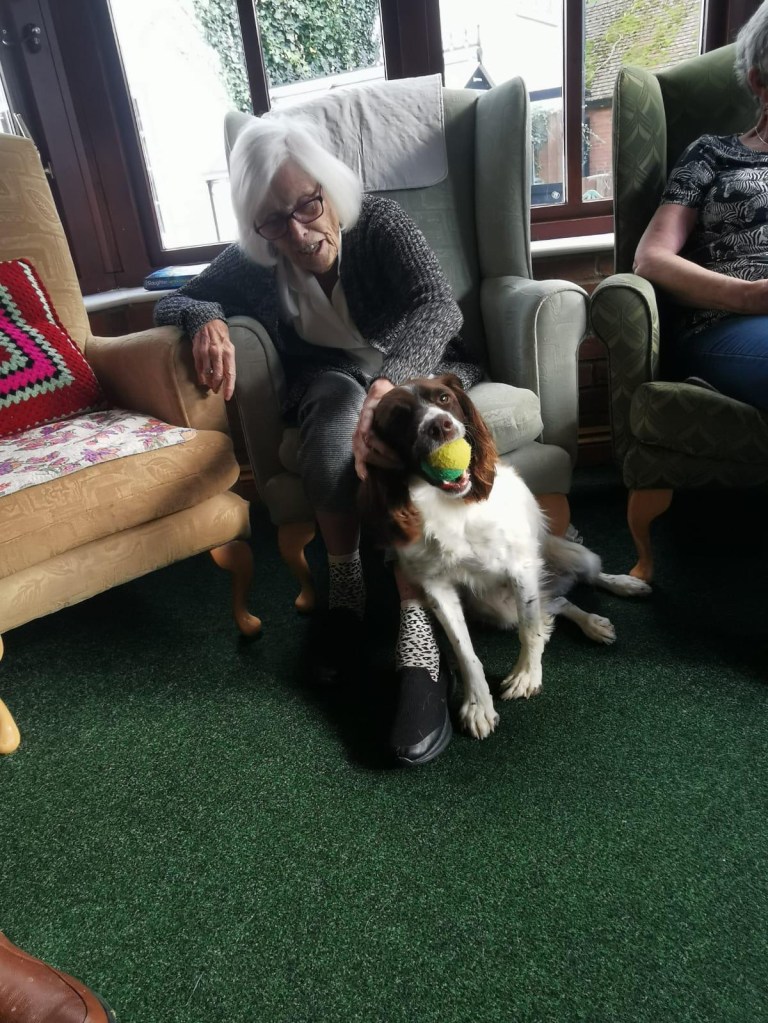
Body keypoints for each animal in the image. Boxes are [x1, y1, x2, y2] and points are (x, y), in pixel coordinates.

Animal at [361, 374, 651, 740]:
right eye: (399, 416)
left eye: (443, 398)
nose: (441, 426)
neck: (450, 504)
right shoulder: (436, 587)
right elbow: (465, 650)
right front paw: (477, 704)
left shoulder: (520, 569)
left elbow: (529, 630)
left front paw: (527, 675)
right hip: (495, 607)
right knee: (555, 605)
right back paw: (590, 623)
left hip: (569, 556)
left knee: (582, 583)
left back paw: (621, 590)